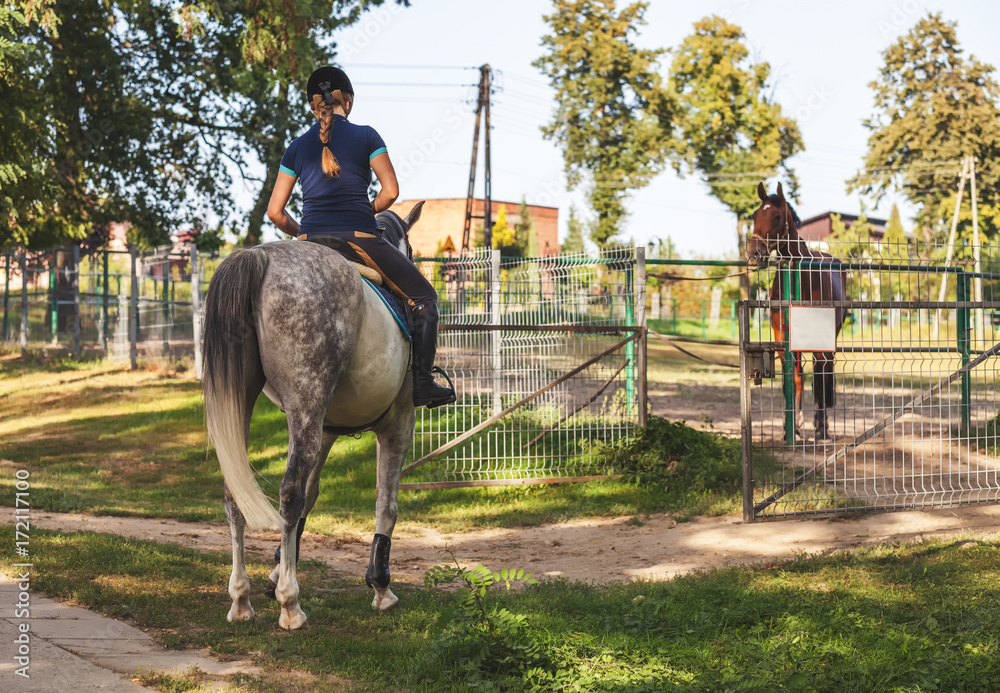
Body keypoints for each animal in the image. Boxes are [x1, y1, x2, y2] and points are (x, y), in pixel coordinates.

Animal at [201, 203, 424, 628]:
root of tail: (258, 257)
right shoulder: (398, 423)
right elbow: (386, 504)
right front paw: (380, 585)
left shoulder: (324, 428)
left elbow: (312, 495)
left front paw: (276, 570)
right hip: (307, 405)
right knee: (288, 491)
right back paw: (291, 605)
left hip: (251, 405)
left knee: (236, 491)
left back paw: (241, 600)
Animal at [752, 182, 844, 438]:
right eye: (754, 215)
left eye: (776, 216)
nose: (754, 252)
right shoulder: (782, 336)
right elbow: (791, 378)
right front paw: (791, 427)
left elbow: (817, 379)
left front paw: (814, 426)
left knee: (823, 372)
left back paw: (822, 426)